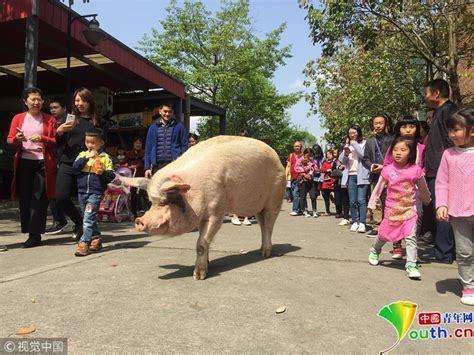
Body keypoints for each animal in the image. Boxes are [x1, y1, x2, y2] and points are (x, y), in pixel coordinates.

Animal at [120, 136, 286, 280]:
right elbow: (204, 240)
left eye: (164, 202)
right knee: (262, 226)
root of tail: (277, 158)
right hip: (259, 208)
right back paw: (261, 251)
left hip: (274, 201)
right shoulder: (201, 216)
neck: (195, 190)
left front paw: (198, 277)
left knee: (268, 227)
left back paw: (265, 254)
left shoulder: (216, 212)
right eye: (151, 202)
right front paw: (208, 263)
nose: (139, 220)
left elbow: (200, 244)